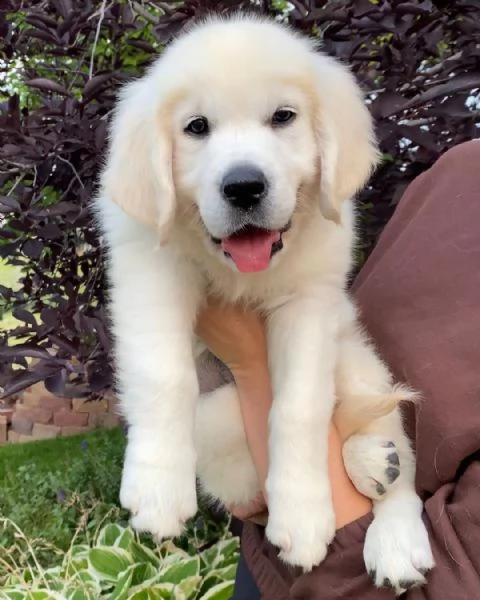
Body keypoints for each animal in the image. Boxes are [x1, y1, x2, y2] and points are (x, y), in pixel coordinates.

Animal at [94, 11, 436, 592]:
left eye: (283, 117)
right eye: (196, 127)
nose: (244, 186)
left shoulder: (310, 302)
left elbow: (299, 406)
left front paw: (303, 514)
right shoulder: (150, 272)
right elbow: (165, 377)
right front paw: (159, 488)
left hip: (358, 360)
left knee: (394, 456)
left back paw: (390, 519)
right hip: (220, 419)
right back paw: (370, 463)